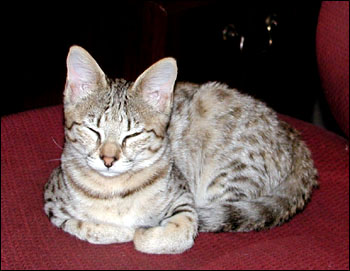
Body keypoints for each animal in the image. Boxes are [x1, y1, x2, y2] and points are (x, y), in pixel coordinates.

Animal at [43, 45, 318, 256]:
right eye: (92, 130)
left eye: (133, 135)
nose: (108, 159)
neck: (114, 191)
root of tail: (291, 135)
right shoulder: (53, 203)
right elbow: (87, 227)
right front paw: (119, 228)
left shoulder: (184, 197)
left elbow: (179, 230)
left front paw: (144, 232)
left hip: (229, 177)